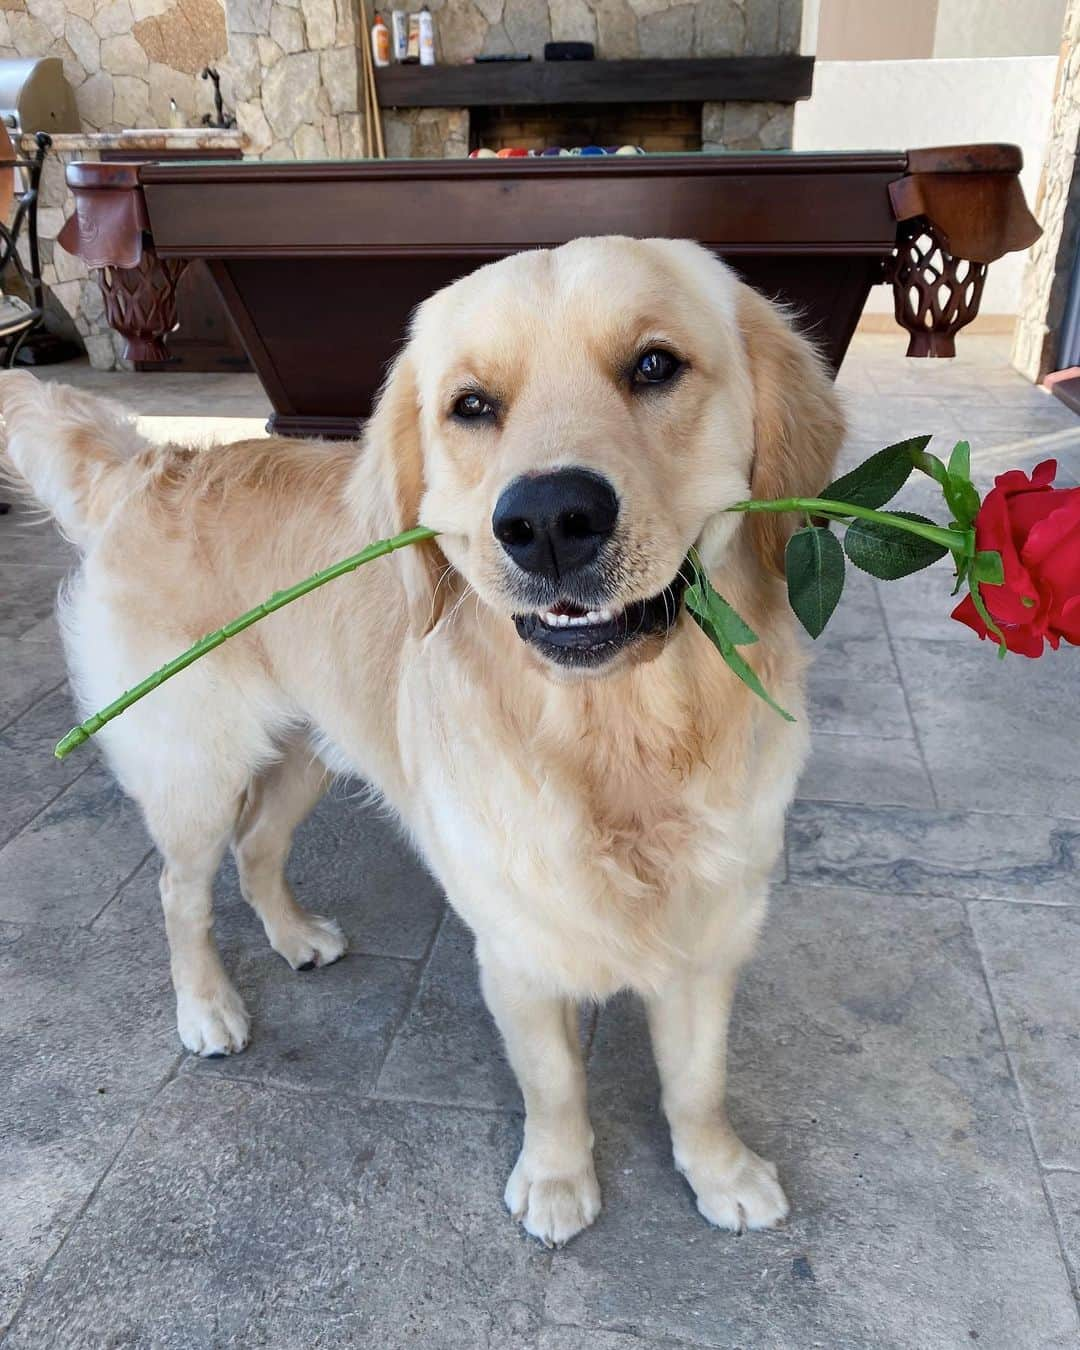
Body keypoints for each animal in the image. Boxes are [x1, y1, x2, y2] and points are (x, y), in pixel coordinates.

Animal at [0, 240, 842, 1242]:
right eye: (471, 405)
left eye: (654, 365)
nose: (548, 521)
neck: (618, 738)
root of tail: (149, 467)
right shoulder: (515, 946)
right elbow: (555, 1084)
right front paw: (556, 1181)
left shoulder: (710, 934)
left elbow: (698, 1081)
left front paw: (719, 1172)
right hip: (193, 770)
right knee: (180, 891)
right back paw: (207, 1009)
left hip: (308, 752)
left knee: (258, 849)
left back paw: (296, 937)